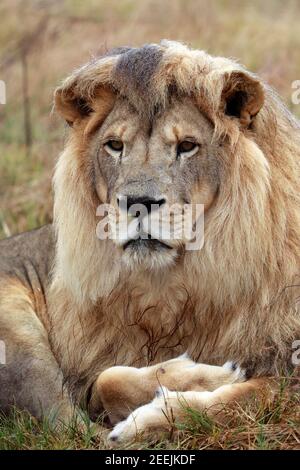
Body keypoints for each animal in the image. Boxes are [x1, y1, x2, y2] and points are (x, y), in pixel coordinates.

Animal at [0, 40, 300, 444]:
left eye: (187, 146)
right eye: (114, 145)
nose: (138, 203)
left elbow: (245, 397)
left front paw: (157, 415)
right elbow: (104, 383)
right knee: (70, 423)